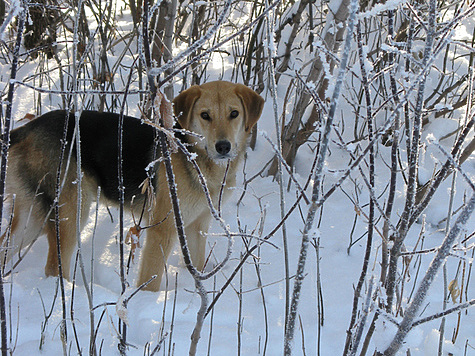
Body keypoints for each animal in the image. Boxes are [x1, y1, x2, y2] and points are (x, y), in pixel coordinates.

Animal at [1, 81, 266, 292]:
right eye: (205, 115)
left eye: (234, 114)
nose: (223, 146)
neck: (194, 156)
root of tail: (26, 129)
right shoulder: (163, 229)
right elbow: (151, 279)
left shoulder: (197, 226)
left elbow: (197, 264)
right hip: (71, 211)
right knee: (54, 268)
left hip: (33, 217)